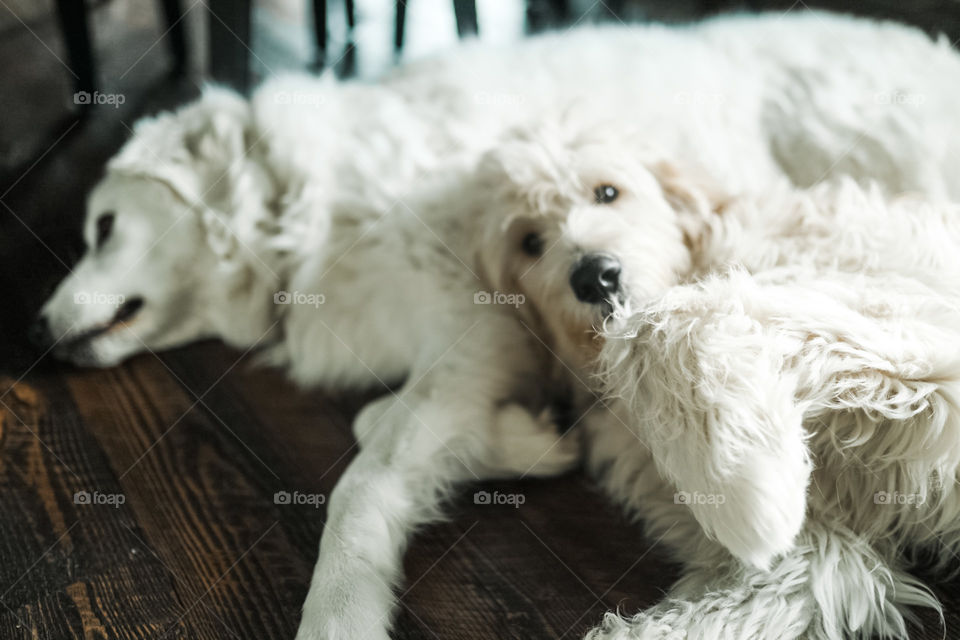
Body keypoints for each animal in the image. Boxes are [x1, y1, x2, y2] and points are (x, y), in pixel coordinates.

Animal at [476, 117, 960, 636]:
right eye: (529, 243)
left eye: (607, 192)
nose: (595, 276)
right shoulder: (815, 559)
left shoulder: (918, 332)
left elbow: (659, 323)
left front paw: (743, 486)